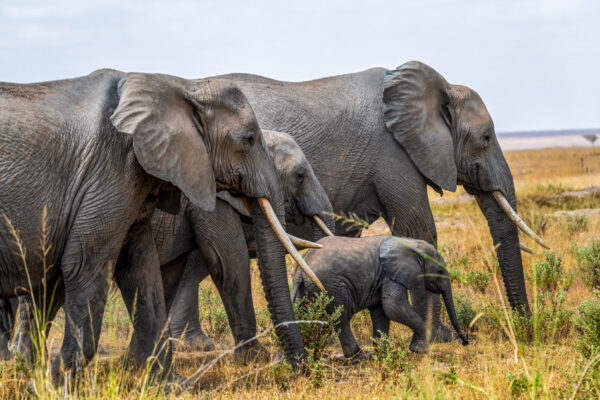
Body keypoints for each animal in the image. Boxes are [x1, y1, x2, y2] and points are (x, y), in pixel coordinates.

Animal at [0, 69, 316, 382]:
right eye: (249, 138)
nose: (299, 369)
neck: (182, 86)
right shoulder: (111, 174)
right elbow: (226, 262)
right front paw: (56, 382)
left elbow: (142, 266)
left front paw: (167, 382)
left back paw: (26, 366)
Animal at [290, 234, 468, 360]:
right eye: (439, 271)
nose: (465, 342)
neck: (409, 243)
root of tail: (300, 268)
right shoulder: (389, 274)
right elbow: (393, 306)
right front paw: (422, 348)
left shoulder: (382, 277)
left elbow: (381, 312)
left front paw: (384, 353)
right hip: (331, 285)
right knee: (341, 316)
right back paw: (360, 357)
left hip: (306, 289)